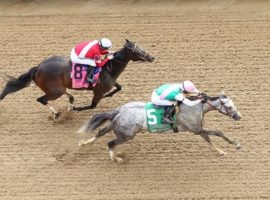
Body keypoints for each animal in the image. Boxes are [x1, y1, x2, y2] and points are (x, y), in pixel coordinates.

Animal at [0, 39, 155, 118]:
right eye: (137, 50)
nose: (152, 57)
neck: (109, 68)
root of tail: (38, 68)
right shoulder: (98, 91)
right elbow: (92, 106)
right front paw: (75, 109)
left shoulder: (109, 83)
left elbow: (119, 87)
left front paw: (108, 95)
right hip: (55, 91)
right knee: (41, 99)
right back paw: (57, 113)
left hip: (58, 89)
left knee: (63, 94)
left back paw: (70, 100)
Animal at [77, 93, 242, 163]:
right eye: (229, 106)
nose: (238, 116)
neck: (195, 107)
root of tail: (120, 111)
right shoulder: (196, 130)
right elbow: (217, 133)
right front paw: (234, 145)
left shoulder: (198, 129)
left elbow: (210, 138)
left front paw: (222, 150)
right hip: (126, 135)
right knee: (110, 143)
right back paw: (117, 159)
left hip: (116, 126)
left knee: (100, 132)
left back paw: (84, 143)